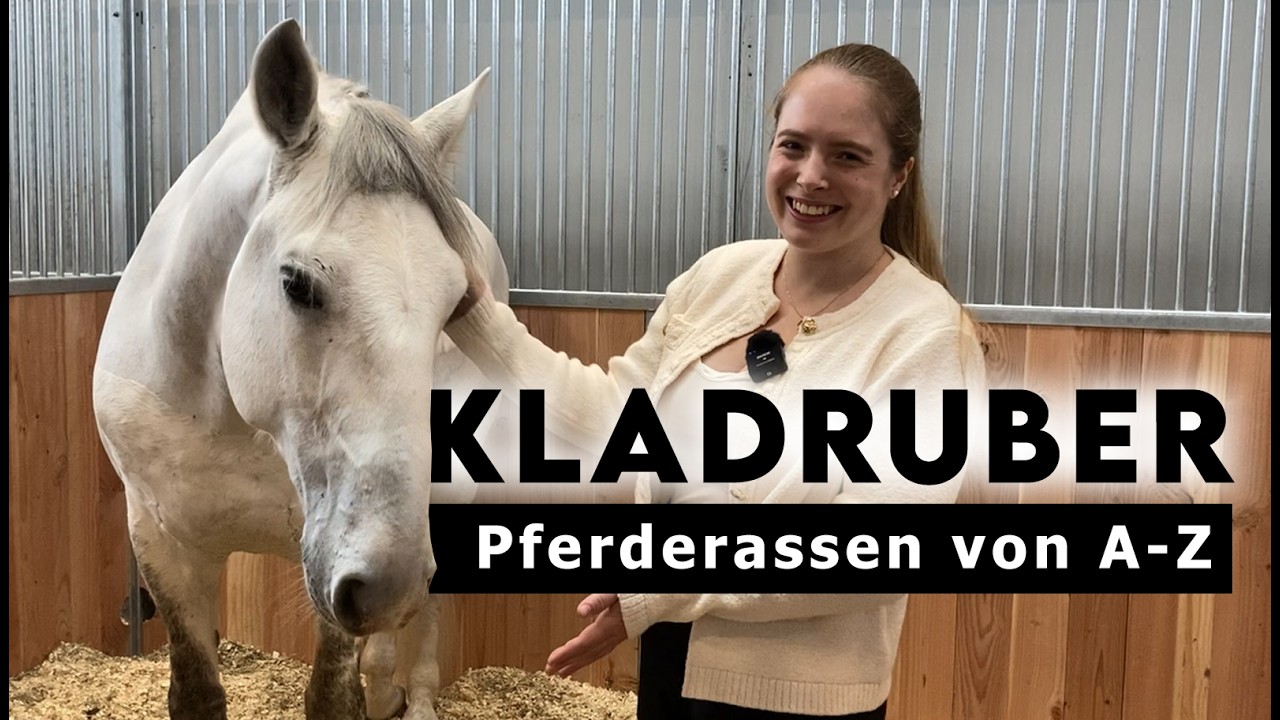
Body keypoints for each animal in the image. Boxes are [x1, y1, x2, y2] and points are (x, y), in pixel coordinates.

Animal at [93, 20, 508, 720]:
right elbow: (197, 692)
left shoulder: (338, 559)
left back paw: (418, 695)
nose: (388, 583)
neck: (220, 411)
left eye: (456, 304)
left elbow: (334, 695)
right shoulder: (162, 542)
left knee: (429, 614)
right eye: (296, 283)